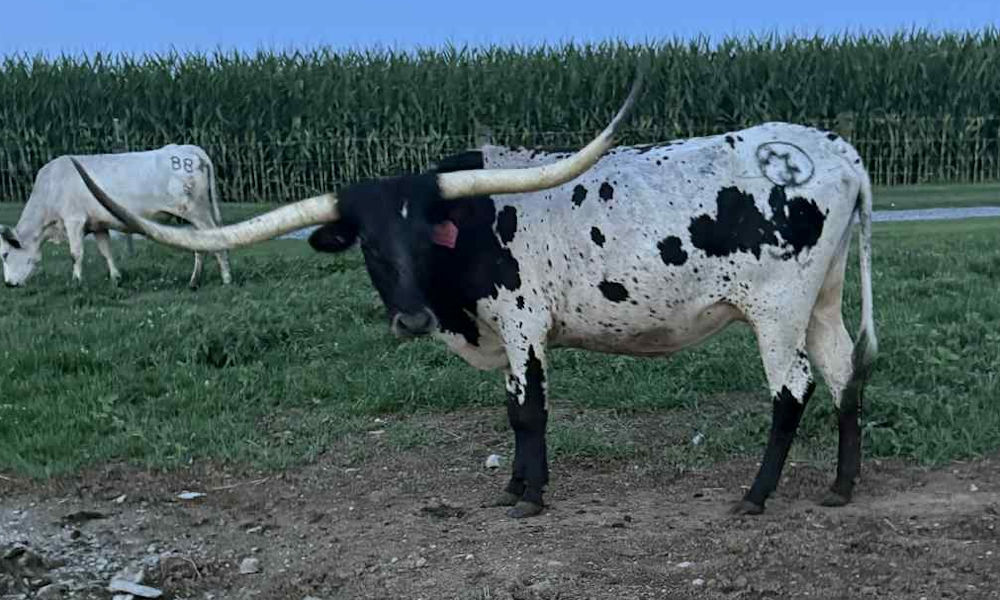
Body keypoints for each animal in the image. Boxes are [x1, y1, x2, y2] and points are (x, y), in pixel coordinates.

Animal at [0, 145, 232, 288]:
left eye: (5, 254)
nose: (9, 285)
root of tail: (186, 148)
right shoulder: (98, 225)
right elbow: (106, 252)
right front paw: (115, 278)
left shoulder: (73, 221)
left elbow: (76, 253)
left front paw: (76, 281)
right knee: (199, 246)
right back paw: (194, 281)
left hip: (198, 212)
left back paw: (226, 278)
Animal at [73, 90, 876, 519]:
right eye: (370, 246)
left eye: (425, 237)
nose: (410, 320)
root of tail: (838, 152)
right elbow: (511, 410)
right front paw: (516, 485)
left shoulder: (522, 324)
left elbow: (529, 410)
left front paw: (529, 496)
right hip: (824, 298)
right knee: (845, 371)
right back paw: (841, 486)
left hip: (775, 308)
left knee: (793, 387)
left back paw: (756, 495)